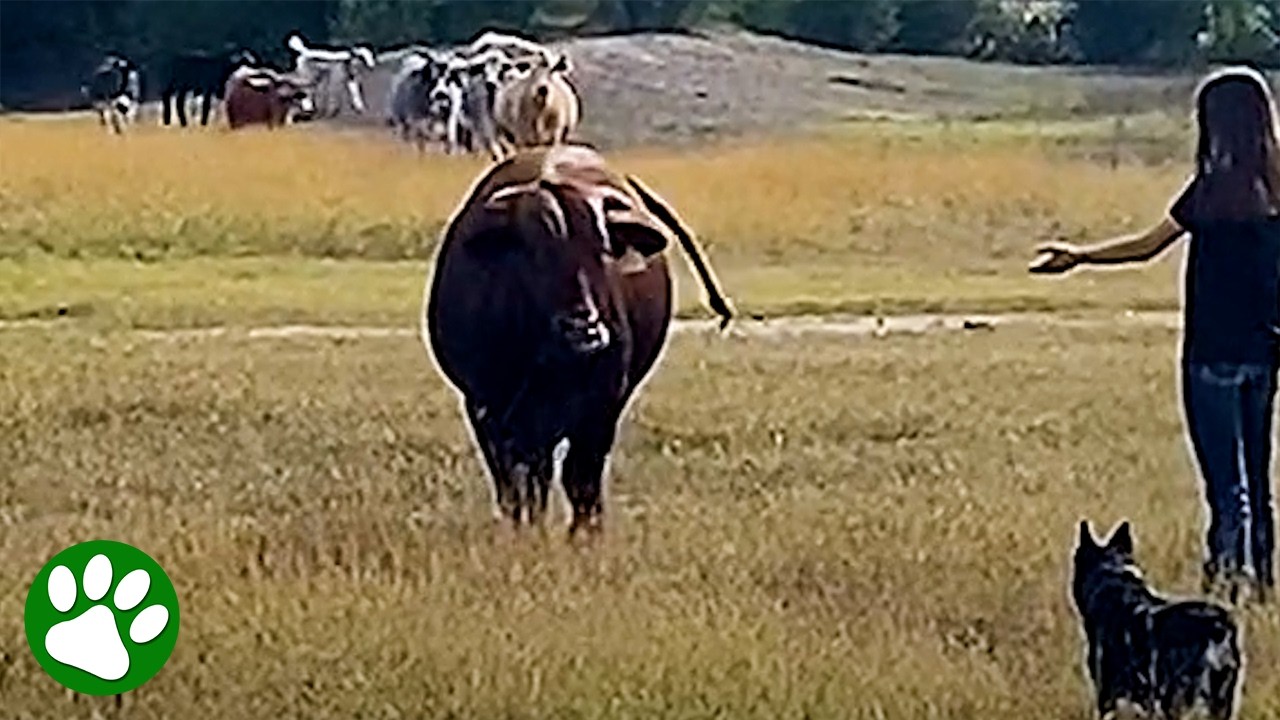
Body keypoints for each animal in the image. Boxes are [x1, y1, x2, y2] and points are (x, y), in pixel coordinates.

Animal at [423, 144, 734, 538]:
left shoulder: (601, 406)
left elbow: (580, 477)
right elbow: (518, 481)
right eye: (531, 253)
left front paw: (585, 534)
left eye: (602, 249)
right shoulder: (486, 406)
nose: (583, 331)